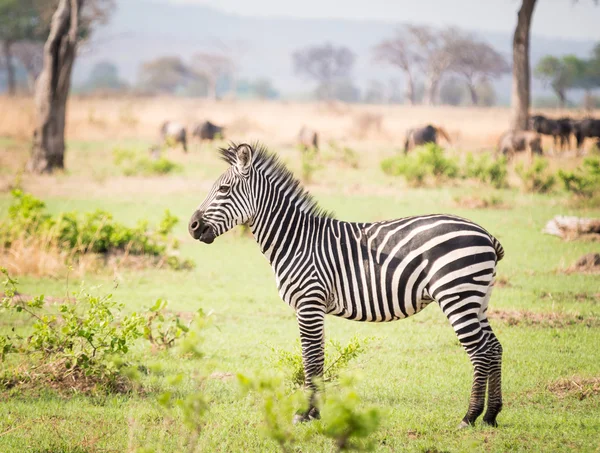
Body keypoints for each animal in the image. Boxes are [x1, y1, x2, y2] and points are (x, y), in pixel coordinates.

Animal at [189, 142, 506, 428]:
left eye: (223, 190)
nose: (192, 226)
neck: (295, 241)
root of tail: (486, 234)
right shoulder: (314, 307)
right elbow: (317, 359)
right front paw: (315, 413)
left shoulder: (309, 303)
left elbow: (311, 360)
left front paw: (304, 414)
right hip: (478, 298)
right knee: (493, 348)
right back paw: (491, 416)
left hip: (458, 295)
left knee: (479, 352)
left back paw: (469, 417)